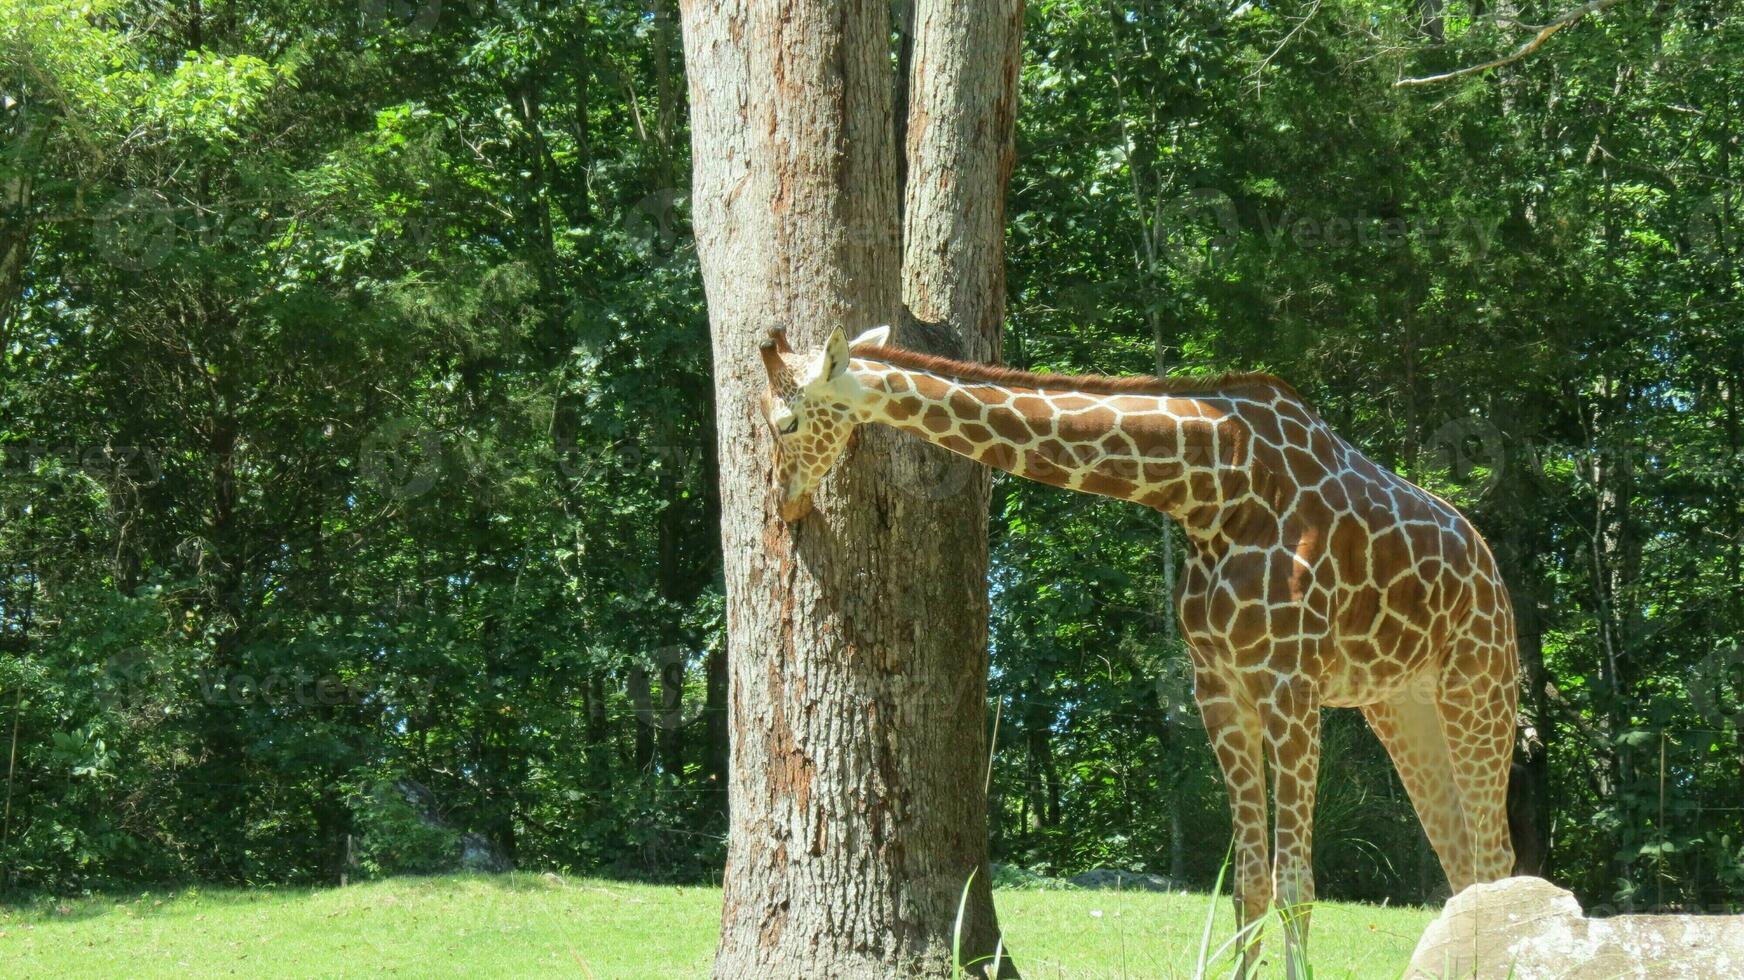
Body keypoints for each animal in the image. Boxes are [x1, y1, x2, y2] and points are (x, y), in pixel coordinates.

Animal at [756, 322, 1520, 969]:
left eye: (785, 421)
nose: (784, 503)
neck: (1208, 489)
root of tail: (1492, 573)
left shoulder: (1290, 682)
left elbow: (1297, 885)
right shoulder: (1221, 685)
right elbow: (1248, 882)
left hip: (1478, 690)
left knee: (1497, 859)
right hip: (1401, 704)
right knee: (1466, 868)